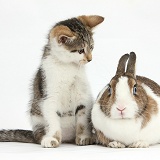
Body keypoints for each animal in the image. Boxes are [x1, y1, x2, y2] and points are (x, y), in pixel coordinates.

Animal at [0, 15, 104, 148]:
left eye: (91, 47)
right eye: (80, 50)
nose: (90, 59)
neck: (67, 66)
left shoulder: (83, 96)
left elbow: (82, 119)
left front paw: (84, 137)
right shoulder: (49, 95)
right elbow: (52, 119)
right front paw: (52, 138)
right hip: (36, 116)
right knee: (38, 133)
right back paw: (43, 137)